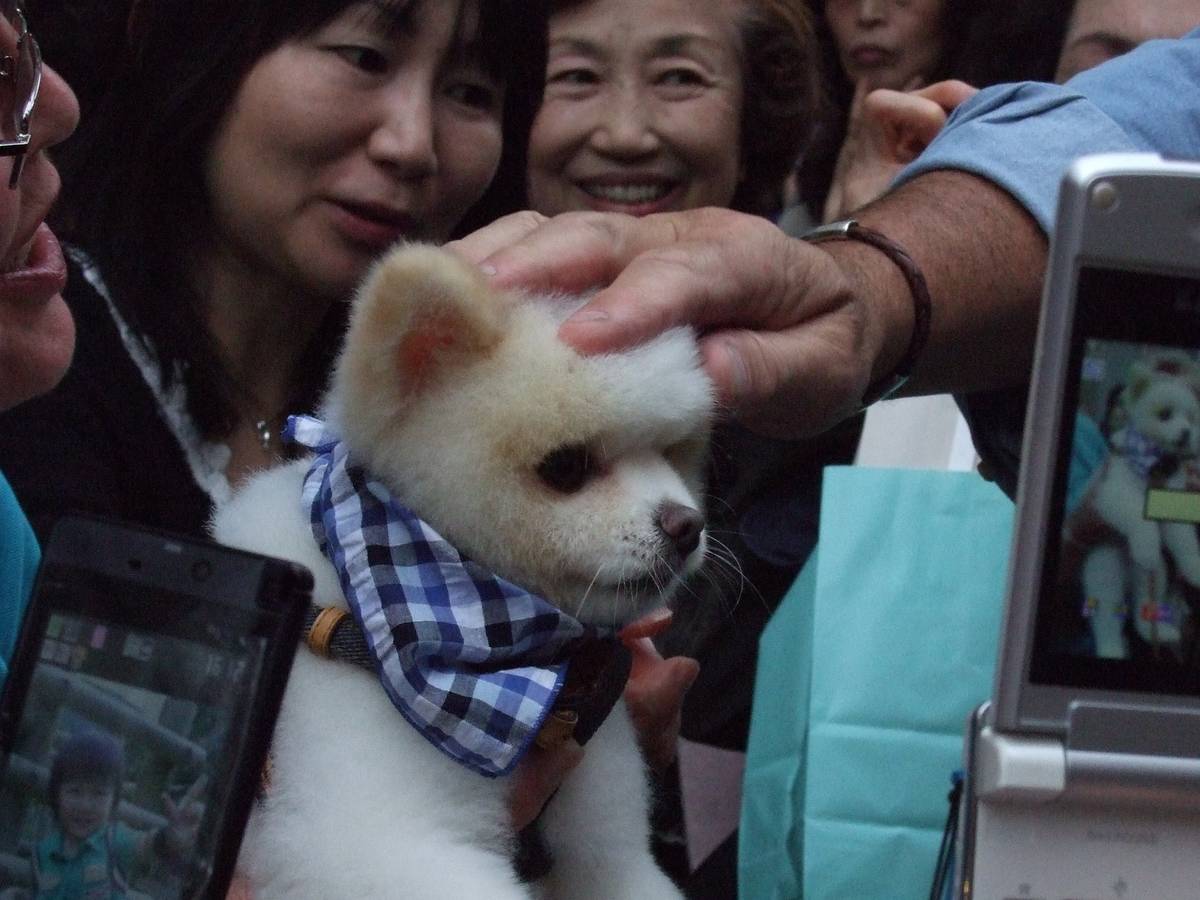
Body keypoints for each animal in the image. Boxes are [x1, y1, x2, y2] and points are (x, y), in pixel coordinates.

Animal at [210, 244, 712, 898]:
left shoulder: (603, 840)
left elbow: (616, 866)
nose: (686, 525)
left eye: (673, 451)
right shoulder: (363, 833)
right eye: (566, 465)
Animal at [1072, 356, 1200, 658]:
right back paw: (1110, 649)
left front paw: (1195, 568)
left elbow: (1184, 539)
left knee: (1144, 606)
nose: (1186, 432)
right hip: (1105, 573)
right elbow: (1138, 521)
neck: (1155, 464)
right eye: (1165, 414)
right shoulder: (1114, 491)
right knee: (1106, 616)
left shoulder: (1170, 501)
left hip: (1154, 576)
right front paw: (1146, 545)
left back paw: (1158, 631)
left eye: (1191, 419)